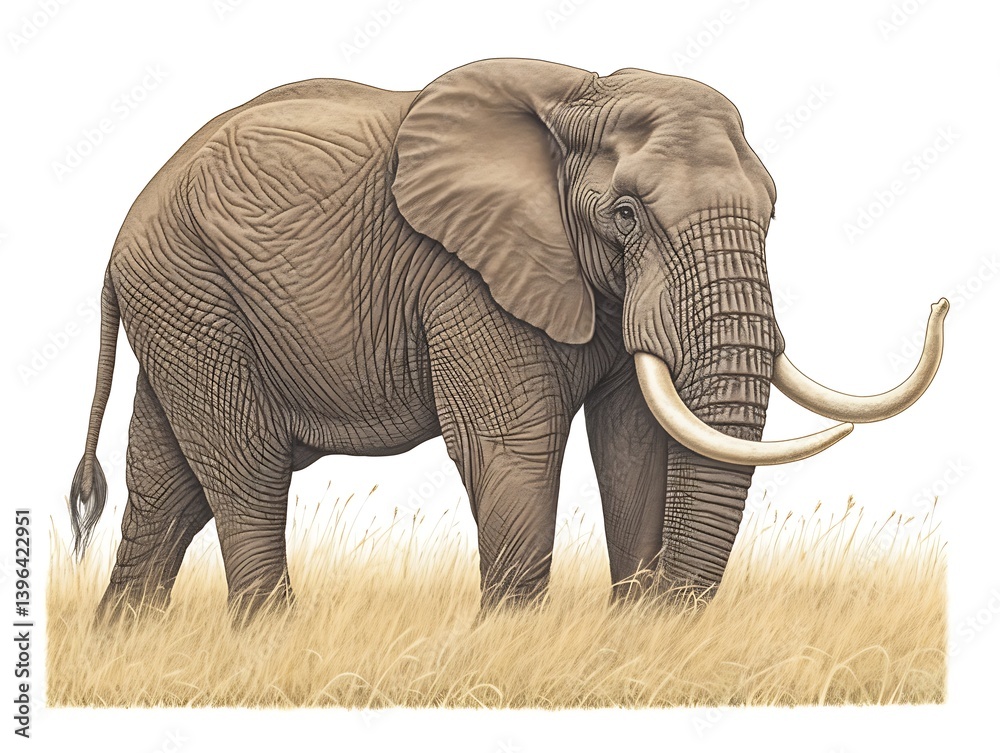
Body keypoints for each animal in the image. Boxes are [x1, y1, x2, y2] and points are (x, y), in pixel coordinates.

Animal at [69, 58, 947, 619]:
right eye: (626, 215)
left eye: (771, 211)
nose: (942, 303)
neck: (582, 96)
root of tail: (120, 237)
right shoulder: (462, 272)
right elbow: (509, 445)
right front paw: (513, 644)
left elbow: (633, 442)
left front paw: (634, 635)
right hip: (193, 290)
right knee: (244, 470)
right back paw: (271, 640)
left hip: (184, 304)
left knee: (167, 484)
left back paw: (125, 639)